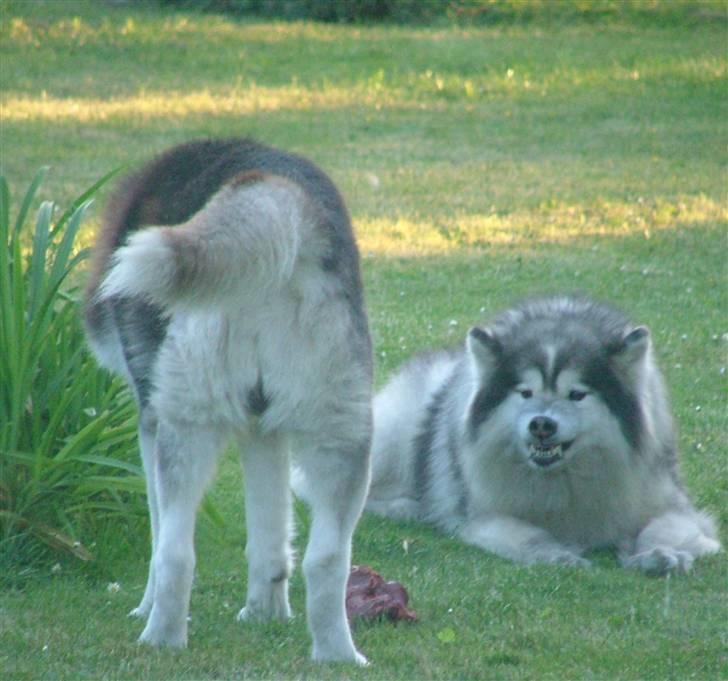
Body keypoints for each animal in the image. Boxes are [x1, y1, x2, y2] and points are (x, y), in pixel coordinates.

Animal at [84, 139, 376, 664]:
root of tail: (276, 193)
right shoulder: (266, 432)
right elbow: (270, 536)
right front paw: (264, 613)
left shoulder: (151, 422)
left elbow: (157, 537)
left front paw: (144, 607)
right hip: (343, 435)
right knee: (327, 559)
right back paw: (338, 656)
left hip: (184, 427)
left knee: (175, 551)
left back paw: (159, 639)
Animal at [366, 294, 720, 572]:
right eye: (526, 393)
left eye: (576, 394)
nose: (541, 424)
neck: (566, 477)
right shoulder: (486, 517)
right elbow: (531, 536)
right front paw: (560, 556)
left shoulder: (676, 507)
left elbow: (662, 528)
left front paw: (658, 555)